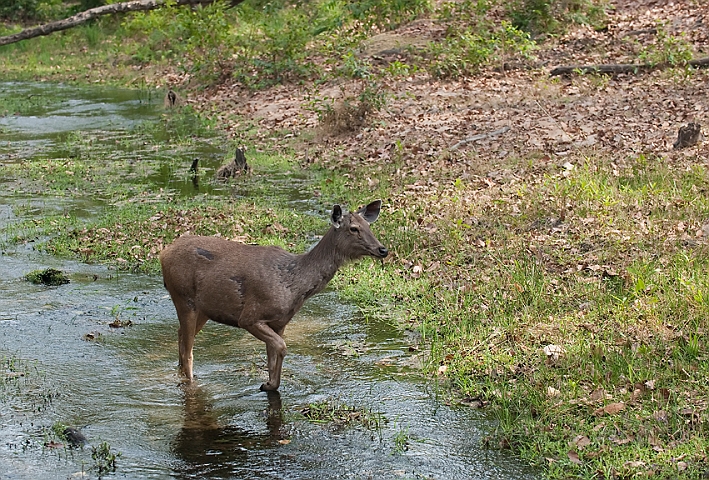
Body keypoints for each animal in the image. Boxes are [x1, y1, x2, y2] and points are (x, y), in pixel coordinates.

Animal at [160, 199, 388, 390]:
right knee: (188, 352)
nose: (382, 249)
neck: (295, 284)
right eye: (354, 228)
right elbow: (282, 347)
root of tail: (163, 253)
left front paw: (269, 384)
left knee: (180, 337)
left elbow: (272, 357)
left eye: (369, 226)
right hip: (182, 297)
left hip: (204, 308)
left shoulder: (280, 322)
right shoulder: (250, 316)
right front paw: (268, 384)